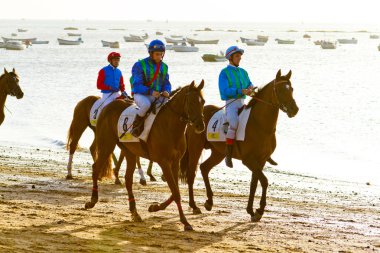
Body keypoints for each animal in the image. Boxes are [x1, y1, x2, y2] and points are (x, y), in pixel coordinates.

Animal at [85, 81, 206, 231]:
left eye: (203, 102)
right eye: (191, 102)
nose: (200, 125)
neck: (170, 126)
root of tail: (108, 106)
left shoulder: (175, 162)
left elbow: (175, 190)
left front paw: (155, 207)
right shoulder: (164, 162)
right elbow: (176, 192)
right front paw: (185, 221)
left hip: (129, 151)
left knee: (128, 179)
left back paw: (134, 212)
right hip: (106, 144)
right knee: (96, 168)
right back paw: (92, 201)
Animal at [181, 69, 300, 221]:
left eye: (291, 89)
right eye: (280, 90)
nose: (294, 109)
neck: (260, 125)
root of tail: (194, 118)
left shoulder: (260, 161)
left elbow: (254, 183)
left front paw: (251, 210)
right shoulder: (248, 160)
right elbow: (264, 181)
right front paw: (259, 210)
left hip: (218, 153)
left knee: (204, 168)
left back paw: (209, 202)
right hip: (195, 148)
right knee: (191, 173)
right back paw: (194, 205)